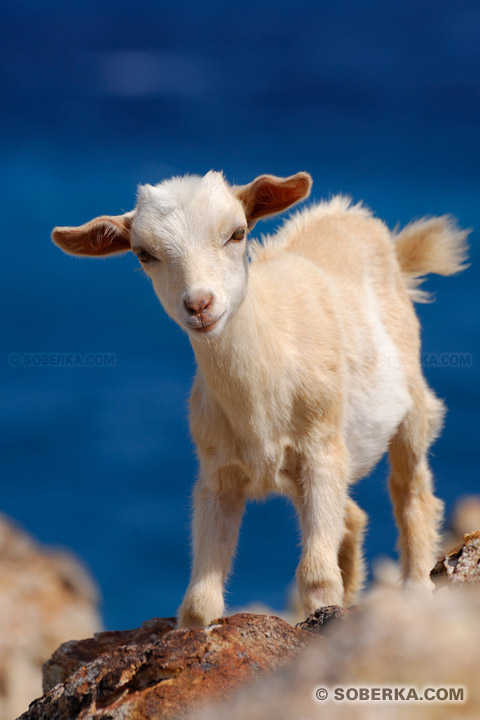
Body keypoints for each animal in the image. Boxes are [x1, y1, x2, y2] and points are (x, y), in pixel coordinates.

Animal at [52, 170, 468, 624]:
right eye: (144, 254)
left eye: (237, 233)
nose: (199, 304)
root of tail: (354, 216)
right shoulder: (218, 474)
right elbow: (199, 601)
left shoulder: (322, 450)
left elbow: (317, 575)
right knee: (353, 518)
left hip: (412, 404)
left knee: (412, 491)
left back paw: (416, 590)